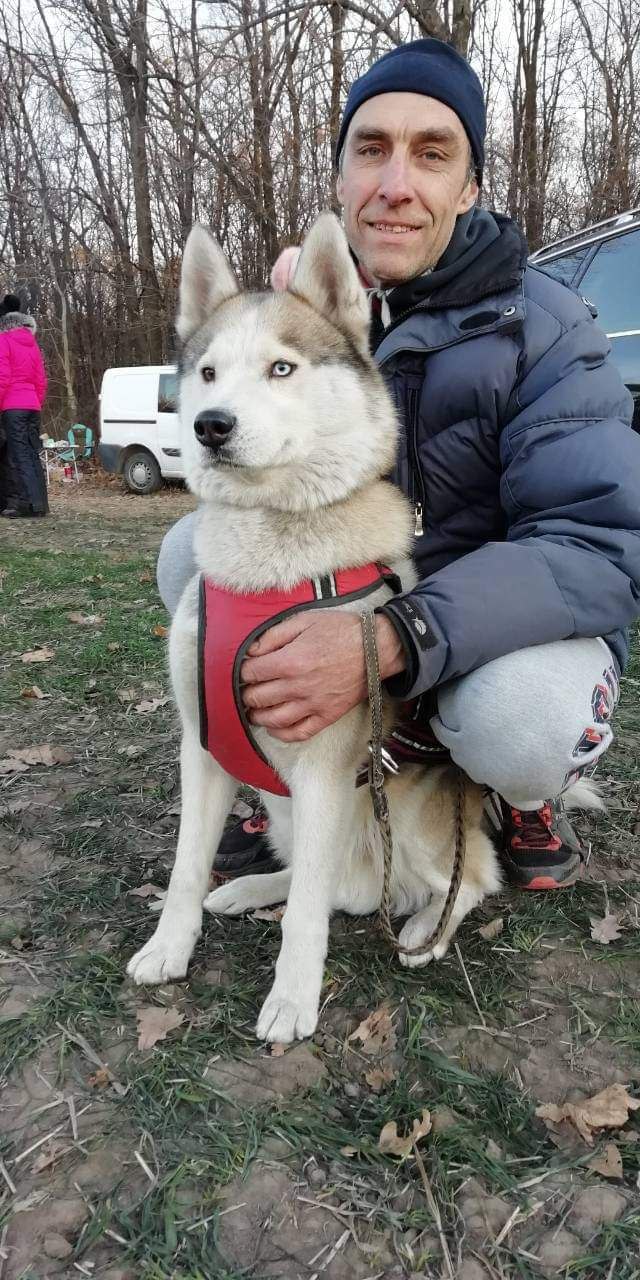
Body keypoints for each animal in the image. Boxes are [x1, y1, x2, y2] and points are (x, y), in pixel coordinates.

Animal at [124, 212, 501, 1039]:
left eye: (282, 369)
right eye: (207, 374)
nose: (210, 426)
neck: (267, 561)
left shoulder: (327, 768)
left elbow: (306, 916)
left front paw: (293, 998)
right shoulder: (202, 745)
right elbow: (186, 867)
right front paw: (169, 946)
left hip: (408, 824)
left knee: (461, 882)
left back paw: (425, 932)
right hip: (288, 814)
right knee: (323, 884)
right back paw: (246, 890)